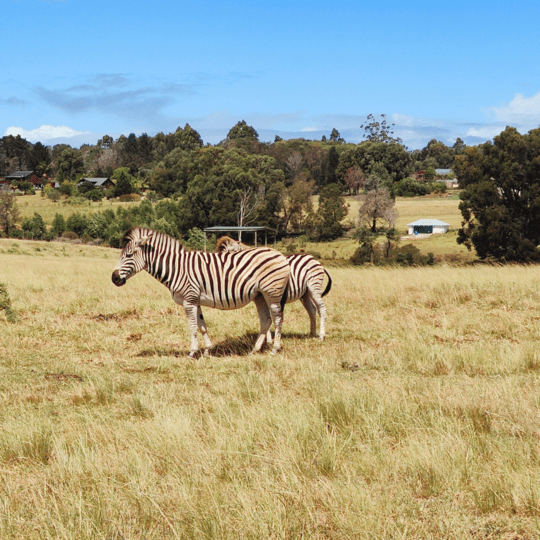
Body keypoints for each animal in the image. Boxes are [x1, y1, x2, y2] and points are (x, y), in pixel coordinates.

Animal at [110, 228, 292, 358]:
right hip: (259, 295)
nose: (114, 278)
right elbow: (202, 326)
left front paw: (192, 352)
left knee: (278, 319)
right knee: (266, 320)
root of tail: (278, 253)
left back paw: (275, 349)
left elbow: (192, 327)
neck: (176, 268)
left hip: (272, 293)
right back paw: (255, 349)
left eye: (129, 255)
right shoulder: (195, 300)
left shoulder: (189, 299)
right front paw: (207, 350)